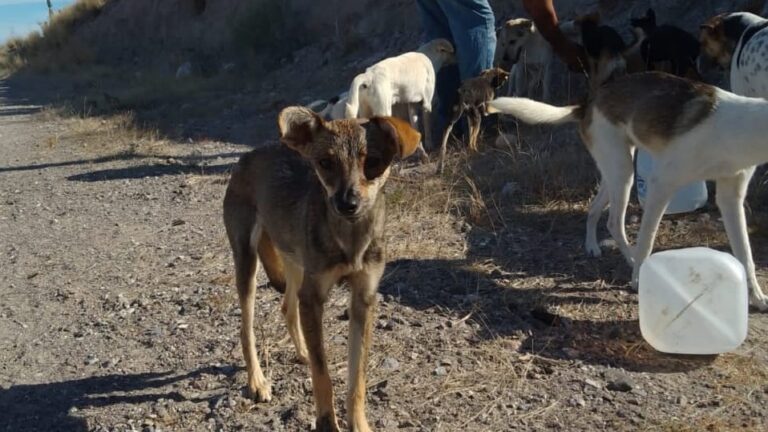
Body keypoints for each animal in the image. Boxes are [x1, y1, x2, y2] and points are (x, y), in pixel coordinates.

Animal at [222, 105, 424, 432]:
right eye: (325, 163)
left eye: (373, 162)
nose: (347, 203)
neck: (350, 239)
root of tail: (249, 155)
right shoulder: (314, 297)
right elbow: (323, 374)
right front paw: (327, 422)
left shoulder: (363, 299)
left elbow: (357, 379)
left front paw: (359, 424)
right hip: (247, 261)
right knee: (246, 329)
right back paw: (257, 381)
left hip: (295, 263)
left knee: (287, 307)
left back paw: (302, 350)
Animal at [488, 72, 768, 312]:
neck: (738, 130)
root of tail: (589, 103)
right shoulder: (661, 185)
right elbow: (647, 241)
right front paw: (638, 280)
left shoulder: (731, 198)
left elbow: (745, 254)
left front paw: (756, 296)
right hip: (623, 174)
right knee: (614, 222)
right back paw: (632, 260)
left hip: (615, 173)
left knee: (594, 209)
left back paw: (592, 246)